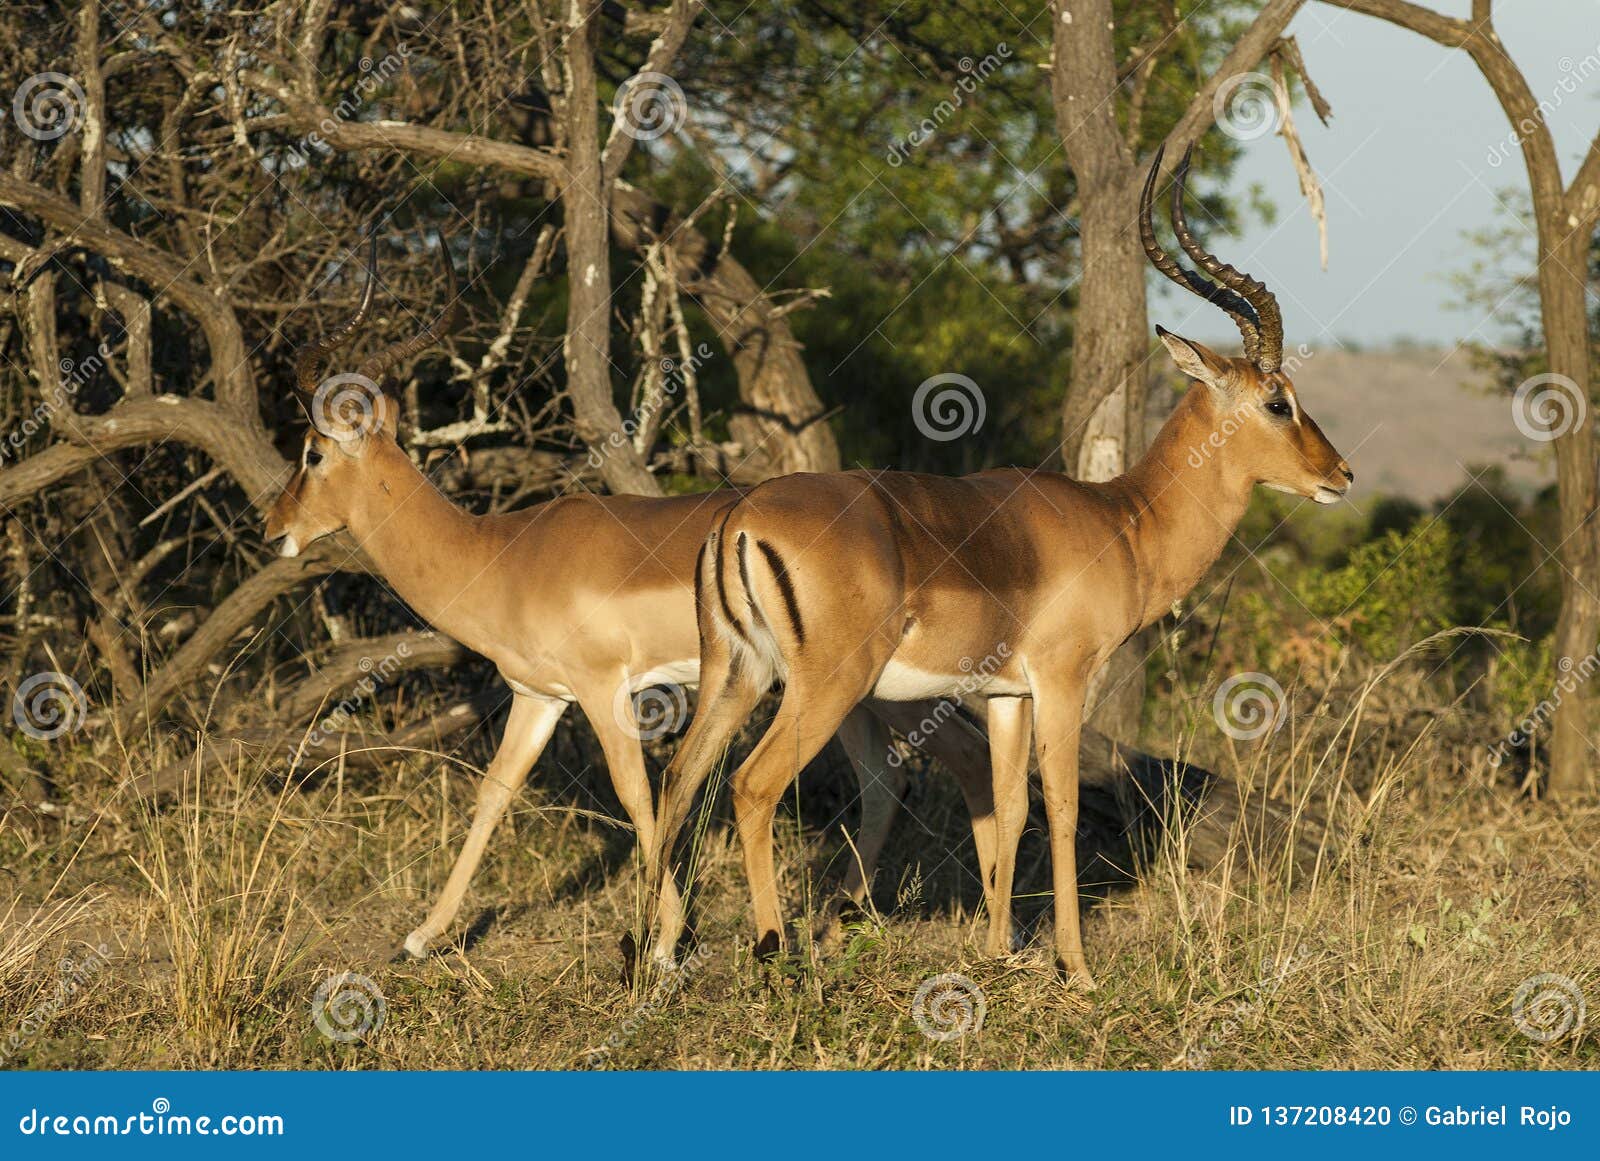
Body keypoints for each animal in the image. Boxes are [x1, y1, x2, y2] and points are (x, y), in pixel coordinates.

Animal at [262, 234, 994, 967]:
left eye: (313, 452)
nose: (273, 527)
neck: (503, 555)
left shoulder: (602, 689)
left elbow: (636, 796)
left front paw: (667, 943)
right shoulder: (539, 696)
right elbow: (494, 793)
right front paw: (420, 936)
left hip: (877, 687)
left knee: (954, 761)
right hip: (853, 696)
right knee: (891, 783)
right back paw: (844, 926)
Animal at [649, 147, 1353, 986]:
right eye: (1279, 401)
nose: (1341, 474)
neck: (1124, 521)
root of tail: (741, 517)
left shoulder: (1006, 694)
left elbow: (1009, 807)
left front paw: (997, 950)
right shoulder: (1061, 679)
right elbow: (1064, 809)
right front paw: (1076, 967)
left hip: (738, 671)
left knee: (676, 779)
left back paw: (655, 957)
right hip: (825, 686)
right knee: (751, 786)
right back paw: (773, 950)